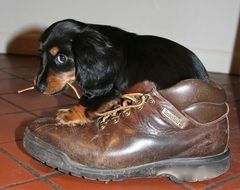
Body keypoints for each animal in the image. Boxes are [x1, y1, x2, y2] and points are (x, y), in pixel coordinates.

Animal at [35, 19, 208, 125]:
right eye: (40, 54)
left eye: (61, 58)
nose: (39, 88)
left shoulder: (110, 89)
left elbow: (87, 101)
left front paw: (69, 114)